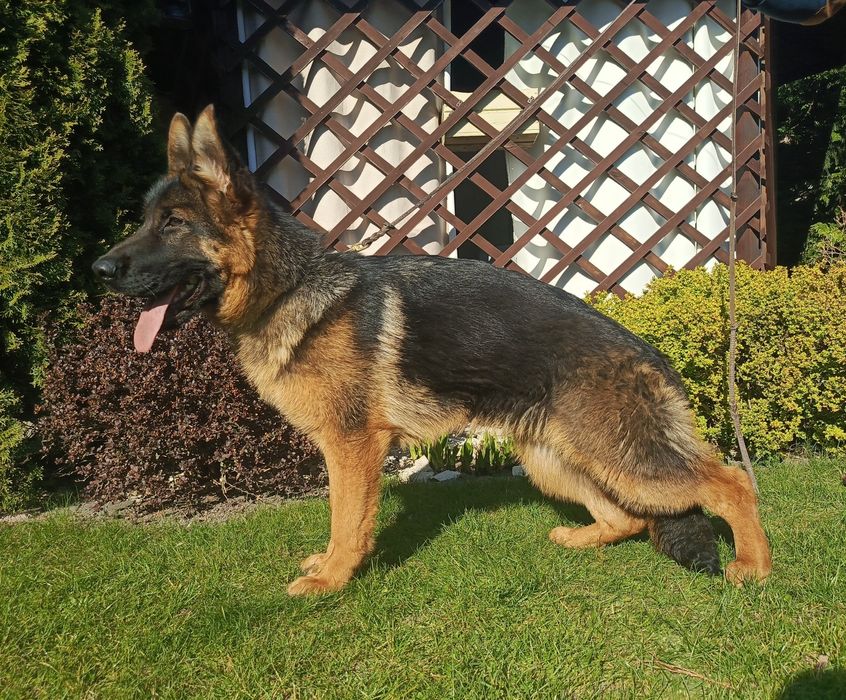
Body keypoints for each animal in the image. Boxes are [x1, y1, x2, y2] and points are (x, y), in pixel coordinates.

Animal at [93, 106, 772, 595]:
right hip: (555, 457)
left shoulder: (352, 446)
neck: (286, 288)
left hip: (622, 456)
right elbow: (341, 517)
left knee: (731, 480)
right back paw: (581, 540)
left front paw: (333, 579)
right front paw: (331, 568)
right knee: (627, 517)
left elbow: (347, 520)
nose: (98, 269)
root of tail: (650, 356)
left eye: (174, 224)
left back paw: (754, 566)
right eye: (147, 220)